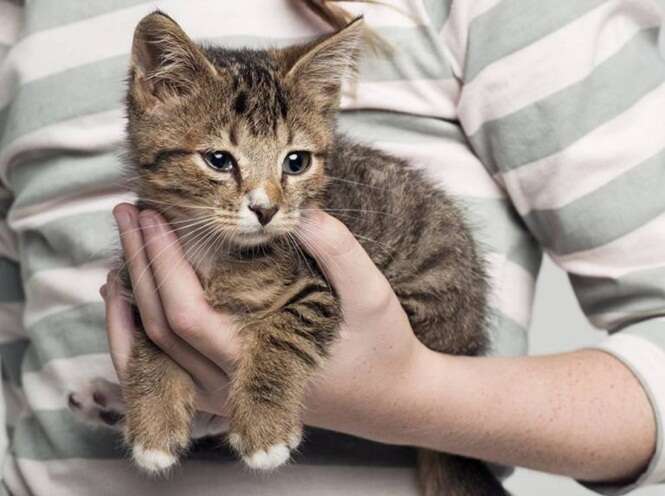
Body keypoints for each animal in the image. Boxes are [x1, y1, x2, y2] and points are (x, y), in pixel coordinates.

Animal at [68, 11, 504, 496]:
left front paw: (263, 425)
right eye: (219, 159)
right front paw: (154, 418)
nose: (266, 209)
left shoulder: (322, 286)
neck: (214, 248)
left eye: (296, 162)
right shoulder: (144, 275)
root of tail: (470, 341)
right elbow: (154, 337)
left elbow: (284, 330)